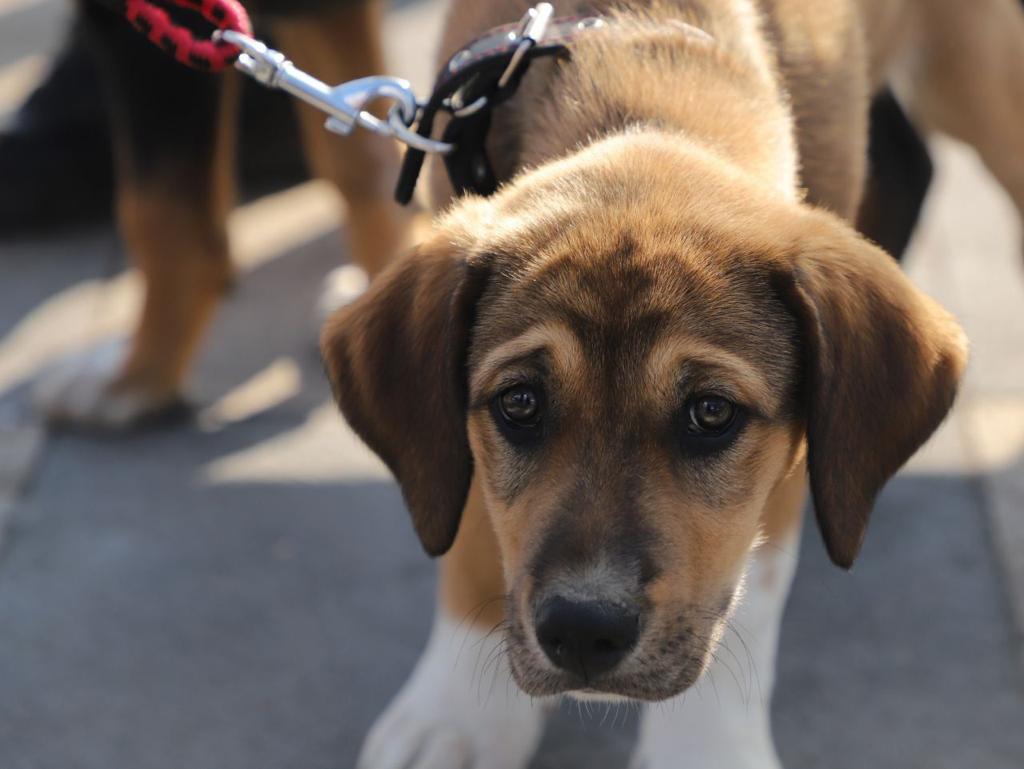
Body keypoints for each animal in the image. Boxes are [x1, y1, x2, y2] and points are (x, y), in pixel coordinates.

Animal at [319, 0, 1015, 765]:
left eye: (711, 413)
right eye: (519, 403)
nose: (583, 630)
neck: (645, 73)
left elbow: (750, 586)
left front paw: (705, 750)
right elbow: (473, 532)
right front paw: (458, 717)